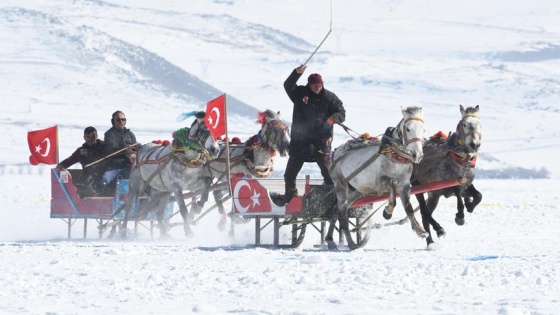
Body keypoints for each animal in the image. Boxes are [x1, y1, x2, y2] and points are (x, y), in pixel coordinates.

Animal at [326, 107, 426, 251]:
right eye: (408, 129)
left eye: (424, 129)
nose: (417, 155)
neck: (394, 155)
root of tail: (335, 153)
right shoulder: (380, 184)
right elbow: (392, 187)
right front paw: (387, 212)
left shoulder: (405, 186)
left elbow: (409, 208)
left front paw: (420, 230)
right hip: (340, 184)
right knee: (342, 211)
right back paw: (351, 243)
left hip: (358, 190)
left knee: (338, 209)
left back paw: (330, 239)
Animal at [412, 105, 482, 249]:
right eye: (465, 124)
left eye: (479, 124)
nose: (475, 144)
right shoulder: (450, 186)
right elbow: (459, 198)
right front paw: (460, 217)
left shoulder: (466, 185)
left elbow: (478, 195)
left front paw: (470, 205)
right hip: (417, 186)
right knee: (424, 210)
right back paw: (438, 231)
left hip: (434, 194)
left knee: (426, 213)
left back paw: (430, 241)